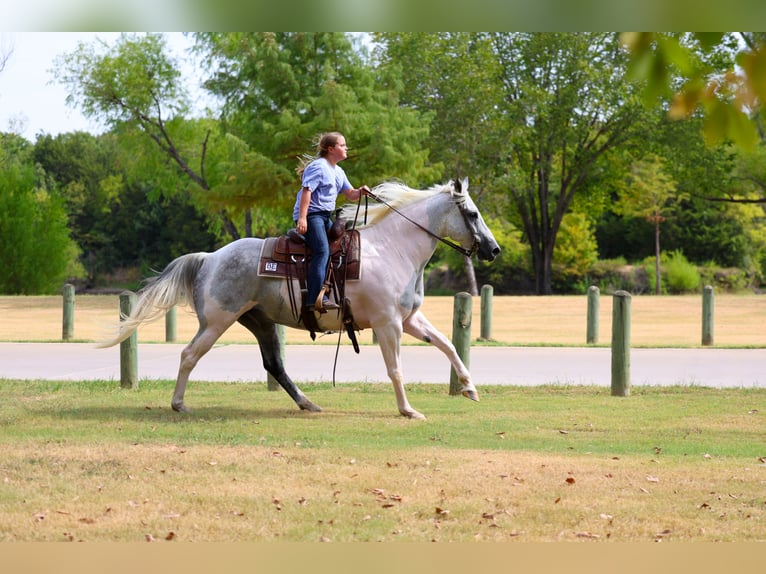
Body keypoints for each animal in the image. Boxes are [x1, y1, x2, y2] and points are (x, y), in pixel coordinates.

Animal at [99, 178, 500, 419]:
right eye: (473, 213)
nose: (494, 249)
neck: (392, 249)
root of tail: (210, 258)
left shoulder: (409, 319)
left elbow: (447, 344)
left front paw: (469, 388)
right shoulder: (388, 325)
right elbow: (396, 368)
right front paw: (408, 410)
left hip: (260, 321)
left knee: (274, 364)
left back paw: (308, 402)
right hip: (217, 321)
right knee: (188, 355)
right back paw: (179, 403)